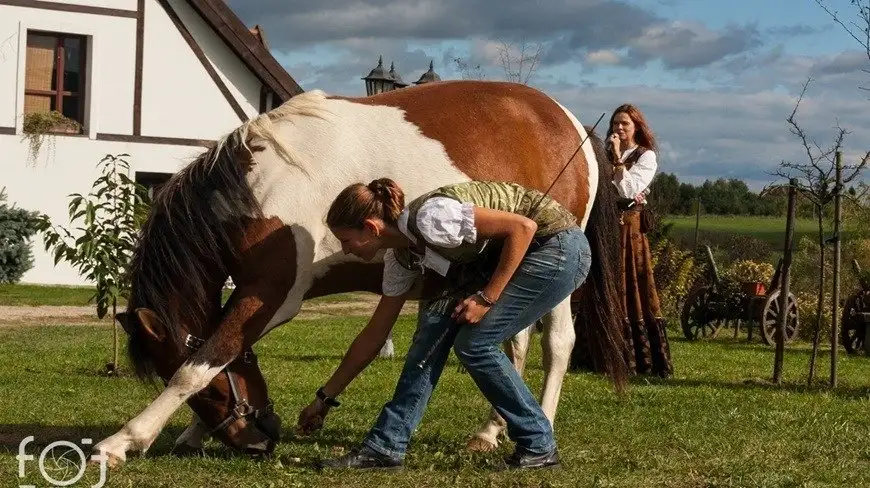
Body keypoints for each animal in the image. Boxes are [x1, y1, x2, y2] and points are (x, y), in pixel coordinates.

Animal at [93, 80, 628, 466]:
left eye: (161, 368)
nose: (263, 438)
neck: (261, 191)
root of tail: (572, 122)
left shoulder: (272, 294)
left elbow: (205, 361)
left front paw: (123, 440)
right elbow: (222, 353)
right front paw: (191, 431)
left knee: (556, 344)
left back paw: (542, 427)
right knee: (512, 342)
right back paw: (491, 430)